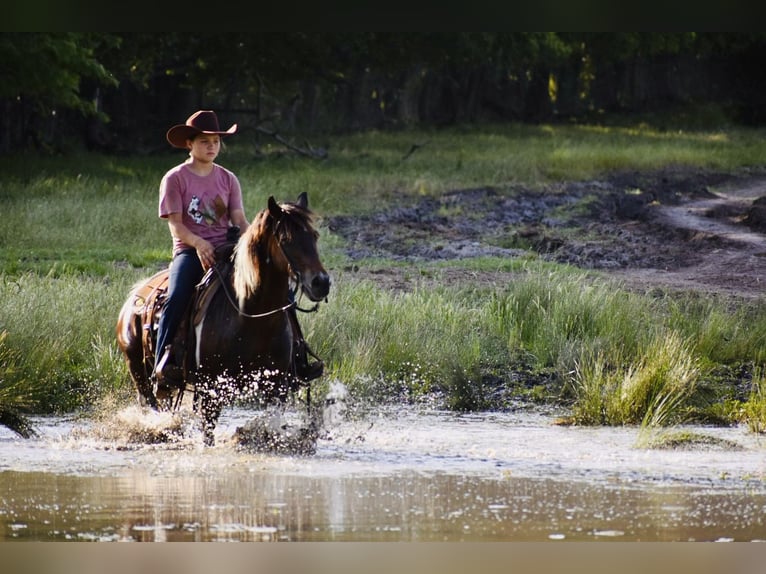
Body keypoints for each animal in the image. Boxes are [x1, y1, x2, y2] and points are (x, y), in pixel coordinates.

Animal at [116, 192, 331, 445]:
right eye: (287, 240)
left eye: (314, 236)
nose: (321, 283)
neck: (252, 318)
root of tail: (134, 298)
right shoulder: (212, 391)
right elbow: (208, 436)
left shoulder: (276, 388)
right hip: (139, 373)